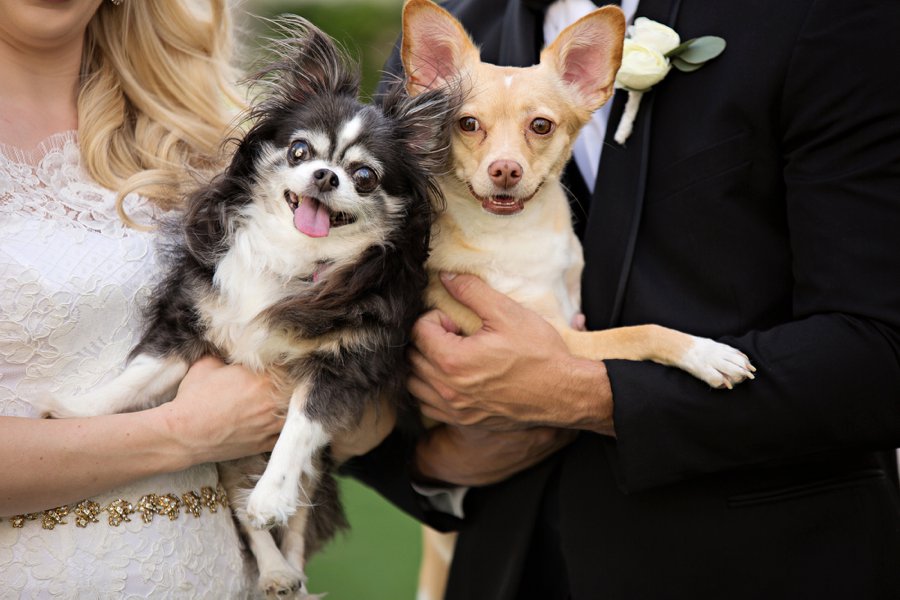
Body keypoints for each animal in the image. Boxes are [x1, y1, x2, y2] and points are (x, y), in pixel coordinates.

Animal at [36, 18, 458, 600]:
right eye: (300, 151)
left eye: (365, 176)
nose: (326, 176)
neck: (292, 256)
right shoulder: (192, 326)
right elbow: (135, 376)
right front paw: (77, 412)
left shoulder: (342, 370)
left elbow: (298, 430)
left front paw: (271, 495)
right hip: (225, 458)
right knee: (241, 509)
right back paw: (275, 572)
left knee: (295, 520)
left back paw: (287, 571)